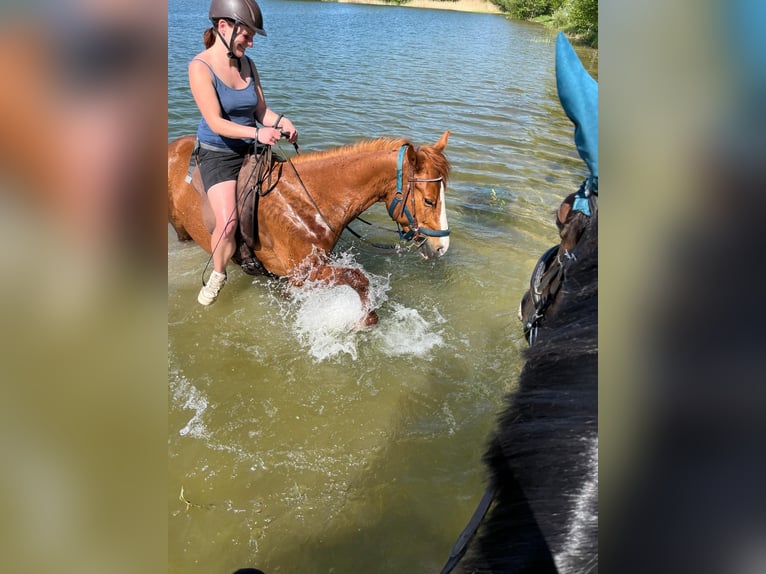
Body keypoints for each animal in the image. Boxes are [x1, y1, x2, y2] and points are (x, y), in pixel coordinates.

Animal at [168, 132, 451, 326]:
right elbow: (358, 278)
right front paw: (366, 319)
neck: (306, 201)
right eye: (429, 200)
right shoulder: (302, 274)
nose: (441, 247)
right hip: (180, 228)